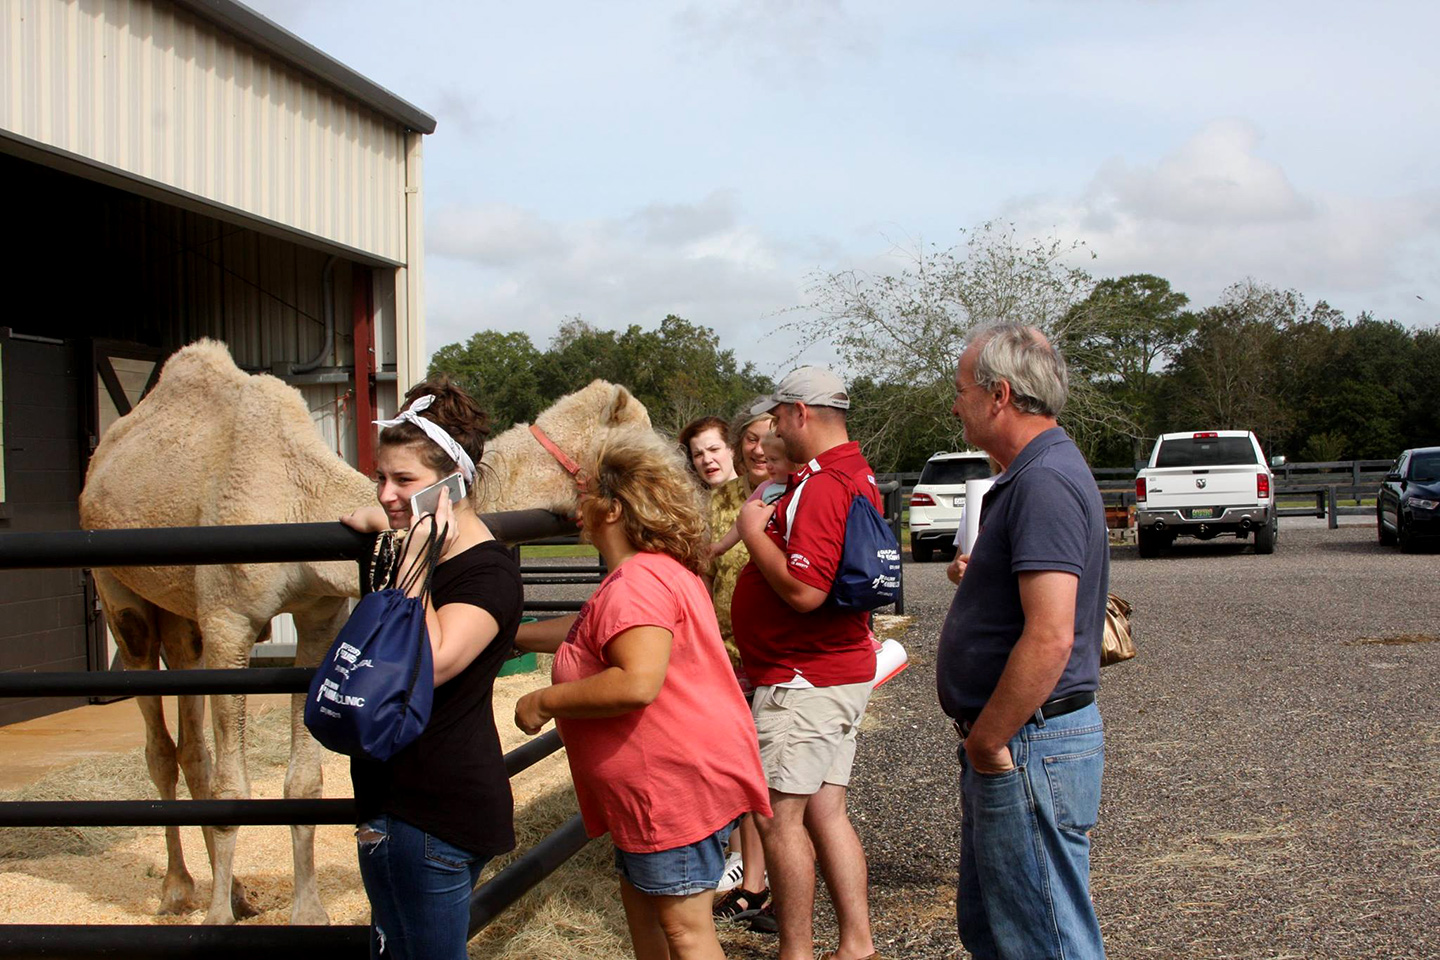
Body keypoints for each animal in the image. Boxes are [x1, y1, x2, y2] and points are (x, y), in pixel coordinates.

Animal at [73, 339, 648, 921]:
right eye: (639, 438)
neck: (297, 497)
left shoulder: (318, 615)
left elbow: (303, 780)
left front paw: (307, 911)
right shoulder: (227, 621)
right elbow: (232, 785)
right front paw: (217, 920)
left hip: (181, 618)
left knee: (191, 746)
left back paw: (230, 889)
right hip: (120, 594)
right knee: (160, 741)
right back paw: (178, 889)